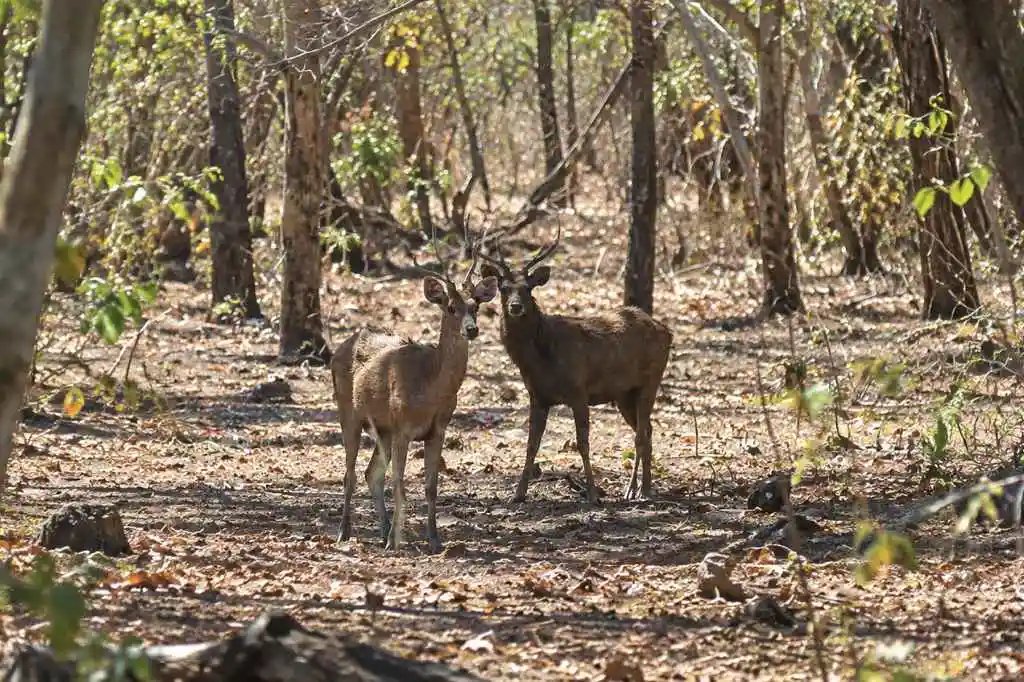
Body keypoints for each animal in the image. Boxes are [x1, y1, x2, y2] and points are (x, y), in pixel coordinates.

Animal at [331, 242, 497, 553]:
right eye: (451, 307)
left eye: (476, 306)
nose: (472, 329)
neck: (430, 388)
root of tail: (339, 347)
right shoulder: (402, 427)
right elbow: (399, 482)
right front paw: (396, 541)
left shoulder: (437, 429)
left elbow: (431, 487)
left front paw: (434, 539)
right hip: (348, 413)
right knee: (350, 474)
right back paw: (344, 533)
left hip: (382, 430)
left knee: (371, 473)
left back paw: (383, 531)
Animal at [479, 226, 673, 504]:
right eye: (504, 288)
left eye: (528, 288)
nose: (515, 306)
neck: (543, 358)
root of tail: (668, 332)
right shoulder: (537, 396)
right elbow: (531, 445)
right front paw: (517, 494)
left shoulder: (579, 390)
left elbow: (583, 444)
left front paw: (592, 494)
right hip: (625, 394)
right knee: (647, 430)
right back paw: (635, 489)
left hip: (651, 380)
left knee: (641, 435)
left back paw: (641, 491)